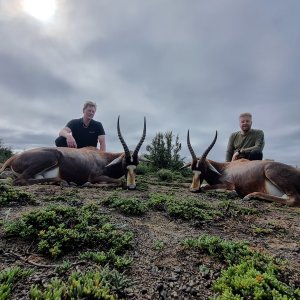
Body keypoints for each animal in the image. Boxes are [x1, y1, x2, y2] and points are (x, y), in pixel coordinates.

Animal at [0, 116, 148, 189]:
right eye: (124, 163)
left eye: (136, 164)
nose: (132, 186)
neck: (105, 159)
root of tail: (14, 158)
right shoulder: (95, 176)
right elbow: (118, 182)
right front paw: (88, 184)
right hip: (51, 157)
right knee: (20, 180)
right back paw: (66, 182)